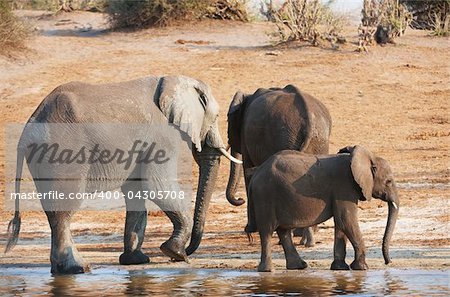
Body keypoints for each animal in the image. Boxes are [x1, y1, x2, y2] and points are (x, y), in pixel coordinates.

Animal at [5, 75, 241, 274]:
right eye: (217, 117)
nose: (188, 252)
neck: (174, 81)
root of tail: (29, 125)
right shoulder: (162, 136)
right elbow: (156, 186)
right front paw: (174, 252)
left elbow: (136, 193)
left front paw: (136, 260)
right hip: (61, 152)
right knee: (63, 211)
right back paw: (78, 269)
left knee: (53, 211)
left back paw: (63, 270)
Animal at [225, 84, 330, 242]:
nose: (240, 199)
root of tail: (309, 121)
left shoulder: (245, 136)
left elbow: (248, 171)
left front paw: (250, 231)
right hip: (319, 141)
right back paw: (306, 237)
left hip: (284, 137)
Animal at [248, 145, 400, 270]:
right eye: (388, 181)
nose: (388, 262)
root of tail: (256, 174)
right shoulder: (344, 187)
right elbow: (346, 221)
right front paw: (362, 268)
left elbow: (341, 223)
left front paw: (340, 268)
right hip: (265, 196)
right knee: (267, 231)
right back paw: (268, 270)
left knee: (283, 231)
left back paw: (299, 266)